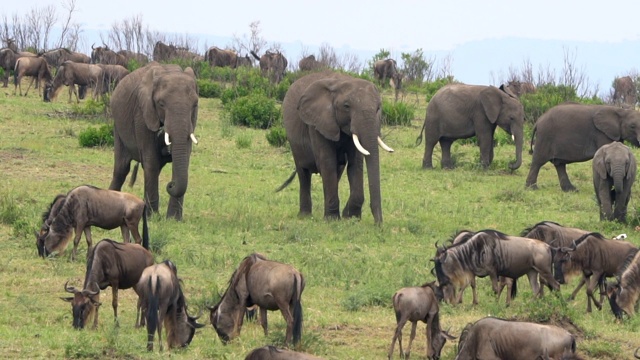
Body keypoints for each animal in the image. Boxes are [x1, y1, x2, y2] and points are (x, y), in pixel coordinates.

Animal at [107, 61, 199, 219]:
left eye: (195, 105)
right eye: (161, 104)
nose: (170, 184)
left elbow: (183, 159)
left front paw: (174, 219)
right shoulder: (142, 113)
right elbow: (151, 161)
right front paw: (152, 217)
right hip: (118, 127)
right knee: (121, 169)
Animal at [280, 70, 396, 225]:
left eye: (378, 108)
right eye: (346, 106)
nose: (379, 225)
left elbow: (355, 164)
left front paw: (351, 217)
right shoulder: (317, 122)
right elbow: (327, 162)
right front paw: (332, 219)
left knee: (338, 171)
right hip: (294, 141)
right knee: (303, 174)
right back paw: (304, 216)